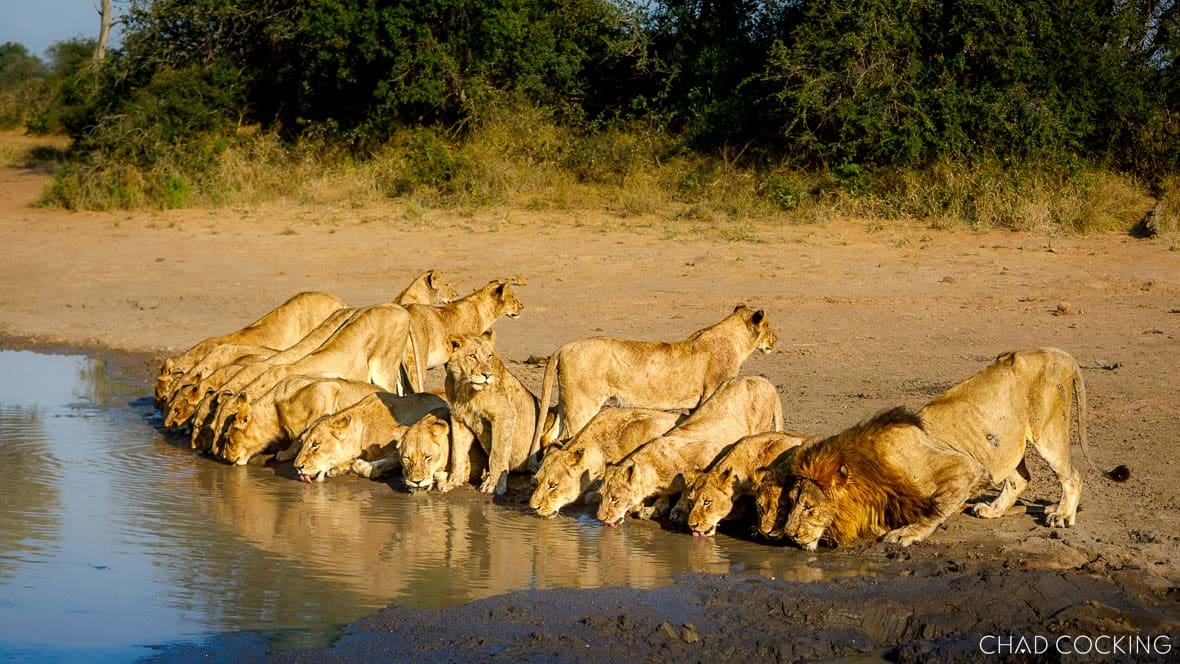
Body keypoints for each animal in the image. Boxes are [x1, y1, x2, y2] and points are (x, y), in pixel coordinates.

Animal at [293, 391, 447, 482]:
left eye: (315, 444)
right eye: (302, 442)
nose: (297, 467)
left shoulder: (402, 447)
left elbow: (377, 467)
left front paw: (356, 465)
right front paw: (338, 468)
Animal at [444, 331, 561, 495]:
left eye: (489, 356)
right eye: (472, 356)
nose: (487, 375)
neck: (465, 388)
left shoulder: (504, 415)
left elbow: (497, 453)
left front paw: (494, 485)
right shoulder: (459, 419)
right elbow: (457, 452)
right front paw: (452, 482)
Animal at [532, 305, 777, 459]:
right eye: (769, 327)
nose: (776, 340)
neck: (735, 339)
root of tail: (563, 347)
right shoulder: (712, 392)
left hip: (568, 402)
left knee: (548, 436)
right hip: (583, 406)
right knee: (568, 439)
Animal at [596, 375, 783, 527]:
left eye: (615, 498)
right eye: (602, 495)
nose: (600, 518)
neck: (654, 473)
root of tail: (764, 381)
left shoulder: (709, 452)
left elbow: (689, 487)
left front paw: (679, 511)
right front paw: (656, 507)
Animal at [781, 348, 1129, 551]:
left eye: (809, 507)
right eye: (792, 502)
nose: (789, 536)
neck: (870, 471)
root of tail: (1061, 353)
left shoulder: (965, 467)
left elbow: (935, 508)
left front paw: (906, 534)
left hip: (1048, 429)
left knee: (1072, 475)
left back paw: (1062, 515)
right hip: (1006, 441)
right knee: (1019, 479)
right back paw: (993, 510)